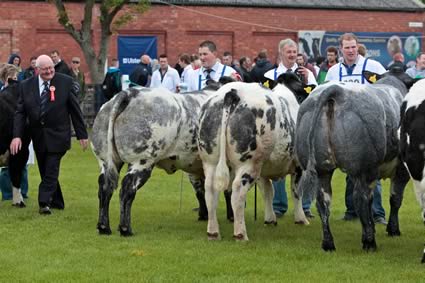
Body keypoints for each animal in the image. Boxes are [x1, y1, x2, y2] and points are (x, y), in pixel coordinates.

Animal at [90, 85, 234, 236]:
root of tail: (131, 92)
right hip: (142, 161)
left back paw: (104, 227)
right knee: (127, 189)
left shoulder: (193, 167)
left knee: (105, 187)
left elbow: (201, 191)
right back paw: (125, 228)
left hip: (106, 161)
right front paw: (230, 216)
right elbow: (227, 190)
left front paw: (204, 214)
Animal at [195, 80, 308, 242]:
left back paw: (213, 232)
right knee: (237, 192)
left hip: (211, 161)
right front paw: (301, 219)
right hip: (249, 163)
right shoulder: (298, 166)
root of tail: (232, 92)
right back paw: (240, 234)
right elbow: (296, 192)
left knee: (210, 190)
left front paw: (270, 219)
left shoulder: (263, 171)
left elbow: (268, 192)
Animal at [294, 70, 414, 252]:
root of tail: (335, 90)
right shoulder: (402, 169)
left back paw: (328, 243)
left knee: (323, 201)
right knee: (361, 199)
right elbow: (395, 198)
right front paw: (393, 230)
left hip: (322, 169)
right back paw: (369, 242)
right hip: (364, 169)